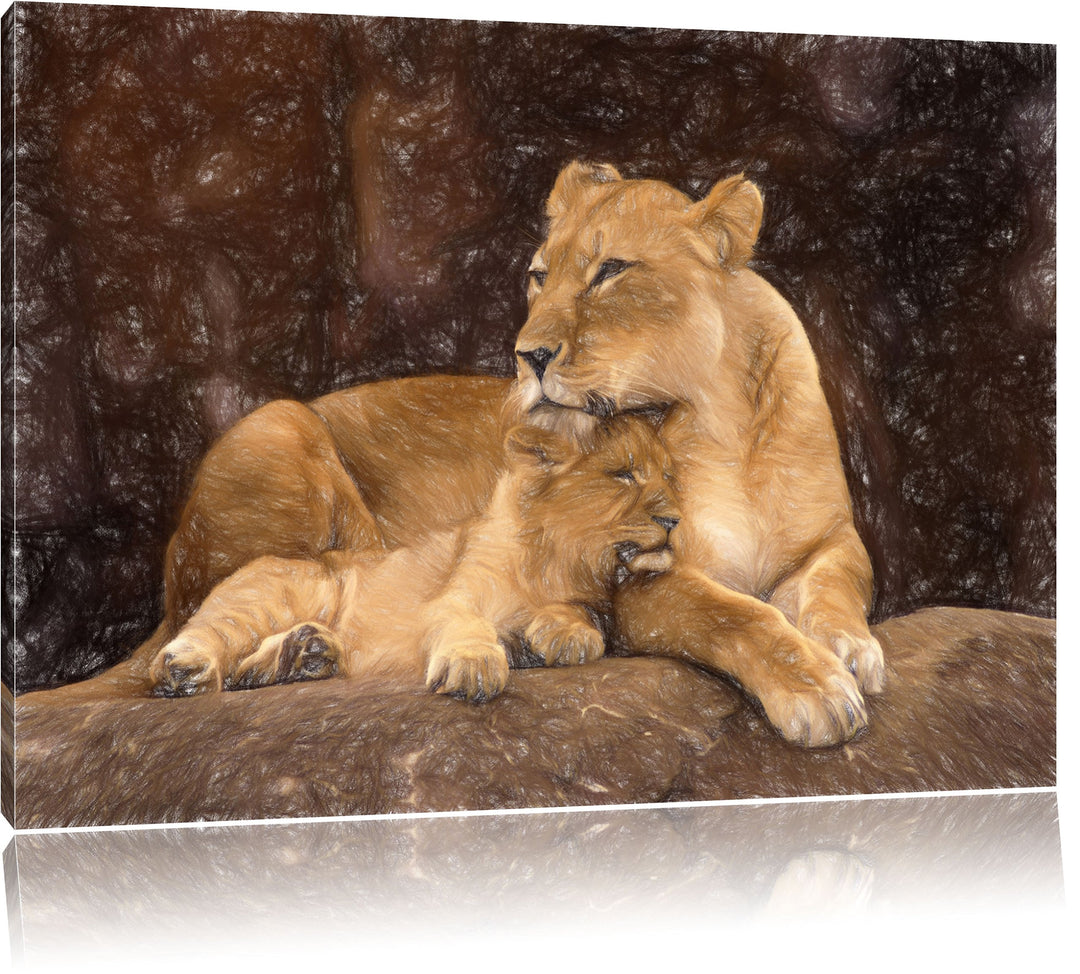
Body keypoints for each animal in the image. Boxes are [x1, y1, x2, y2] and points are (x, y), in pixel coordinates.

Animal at [148, 413, 681, 701]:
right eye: (625, 474)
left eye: (669, 476)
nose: (676, 519)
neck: (554, 556)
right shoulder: (452, 596)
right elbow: (467, 623)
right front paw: (475, 664)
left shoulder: (590, 597)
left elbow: (582, 615)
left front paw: (563, 636)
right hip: (279, 591)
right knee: (209, 636)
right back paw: (185, 668)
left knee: (246, 670)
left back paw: (306, 654)